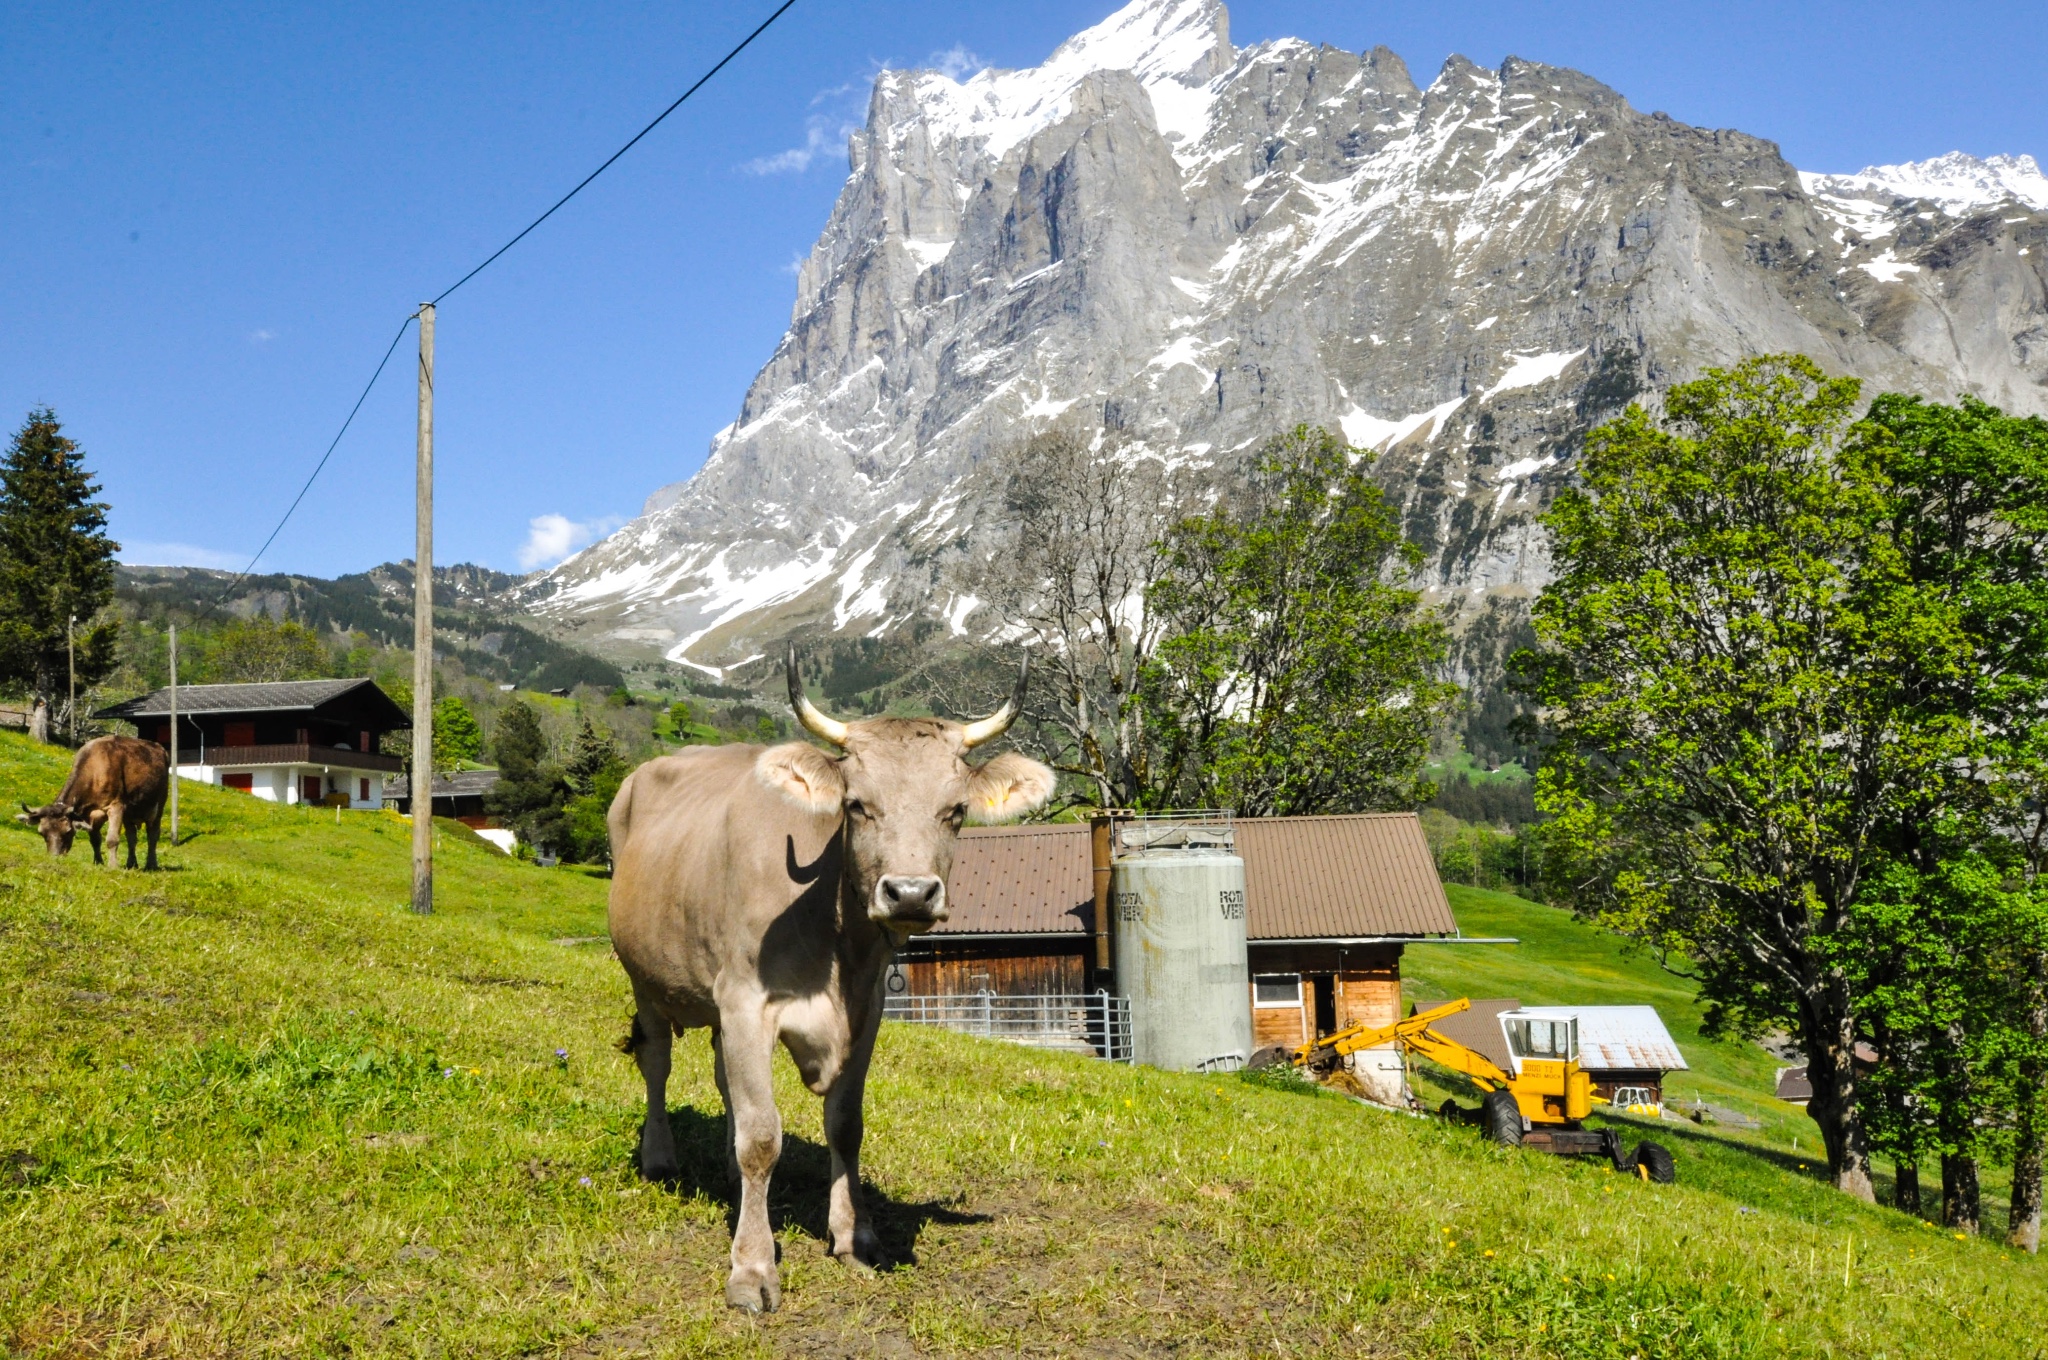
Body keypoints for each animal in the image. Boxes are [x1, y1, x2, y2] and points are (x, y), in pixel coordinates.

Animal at [16, 733, 169, 872]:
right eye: (41, 833)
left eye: (68, 831)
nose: (55, 858)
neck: (95, 770)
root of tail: (159, 748)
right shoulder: (92, 813)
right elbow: (95, 839)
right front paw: (98, 862)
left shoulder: (116, 806)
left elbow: (112, 839)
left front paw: (113, 866)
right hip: (130, 812)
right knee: (132, 837)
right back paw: (131, 864)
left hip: (159, 803)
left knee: (153, 835)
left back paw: (151, 864)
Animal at [602, 647, 1056, 1310]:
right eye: (857, 805)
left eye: (956, 812)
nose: (911, 893)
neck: (837, 948)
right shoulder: (747, 1002)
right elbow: (762, 1138)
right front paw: (752, 1268)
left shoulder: (866, 1011)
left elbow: (845, 1124)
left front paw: (855, 1236)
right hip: (643, 975)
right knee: (656, 1061)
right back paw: (659, 1157)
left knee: (723, 1080)